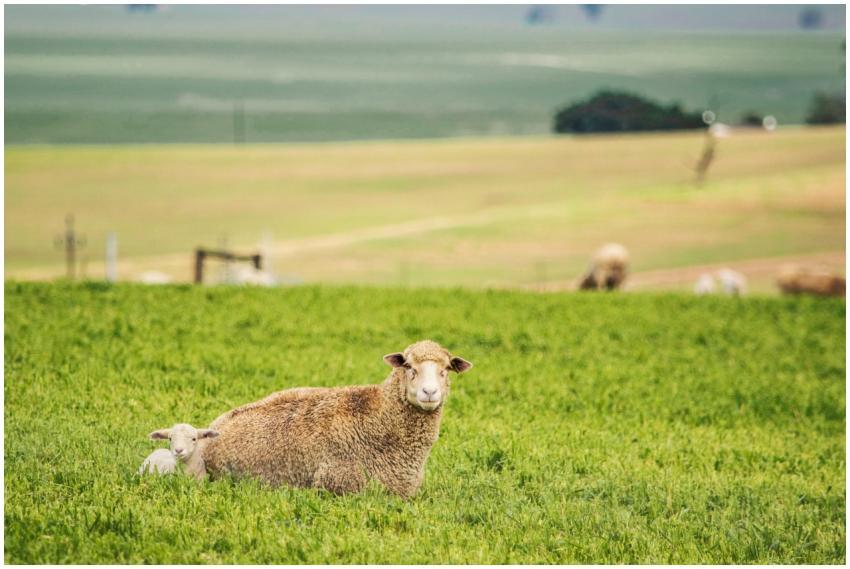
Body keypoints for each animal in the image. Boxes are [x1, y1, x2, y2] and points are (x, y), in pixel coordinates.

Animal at [200, 340, 473, 497]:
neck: (379, 418)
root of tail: (215, 425)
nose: (430, 392)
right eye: (408, 366)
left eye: (446, 369)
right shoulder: (339, 485)